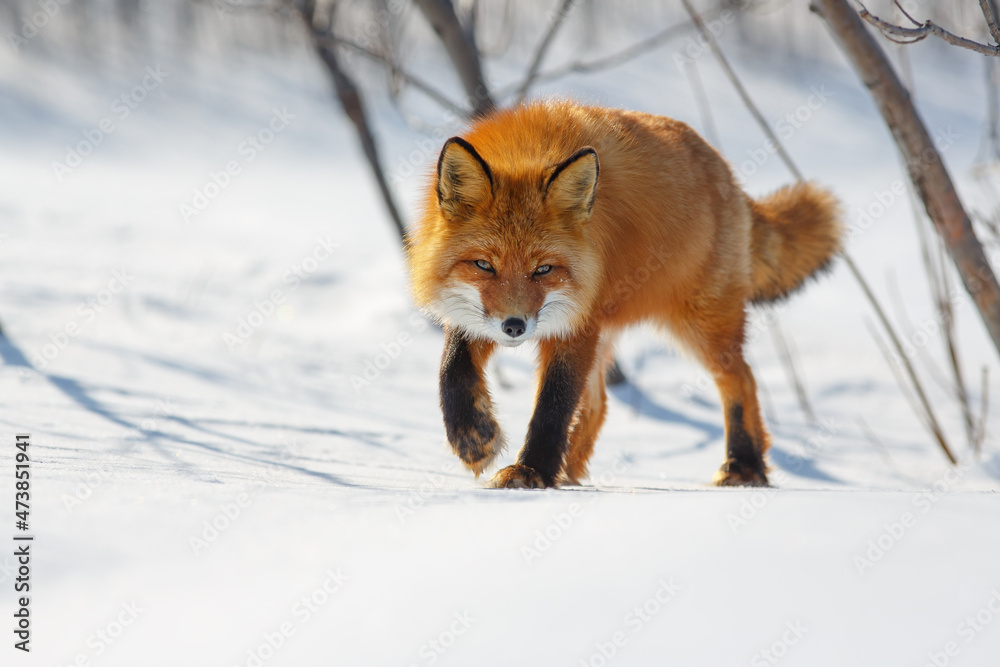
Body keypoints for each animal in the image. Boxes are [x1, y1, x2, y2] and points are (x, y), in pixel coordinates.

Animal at [406, 99, 844, 488]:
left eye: (543, 270)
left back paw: (744, 464)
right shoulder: (482, 314)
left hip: (699, 325)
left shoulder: (576, 321)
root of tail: (729, 175)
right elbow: (452, 368)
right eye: (484, 266)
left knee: (742, 380)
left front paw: (530, 472)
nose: (514, 327)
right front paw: (473, 437)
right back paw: (567, 471)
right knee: (599, 405)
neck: (527, 153)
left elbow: (552, 405)